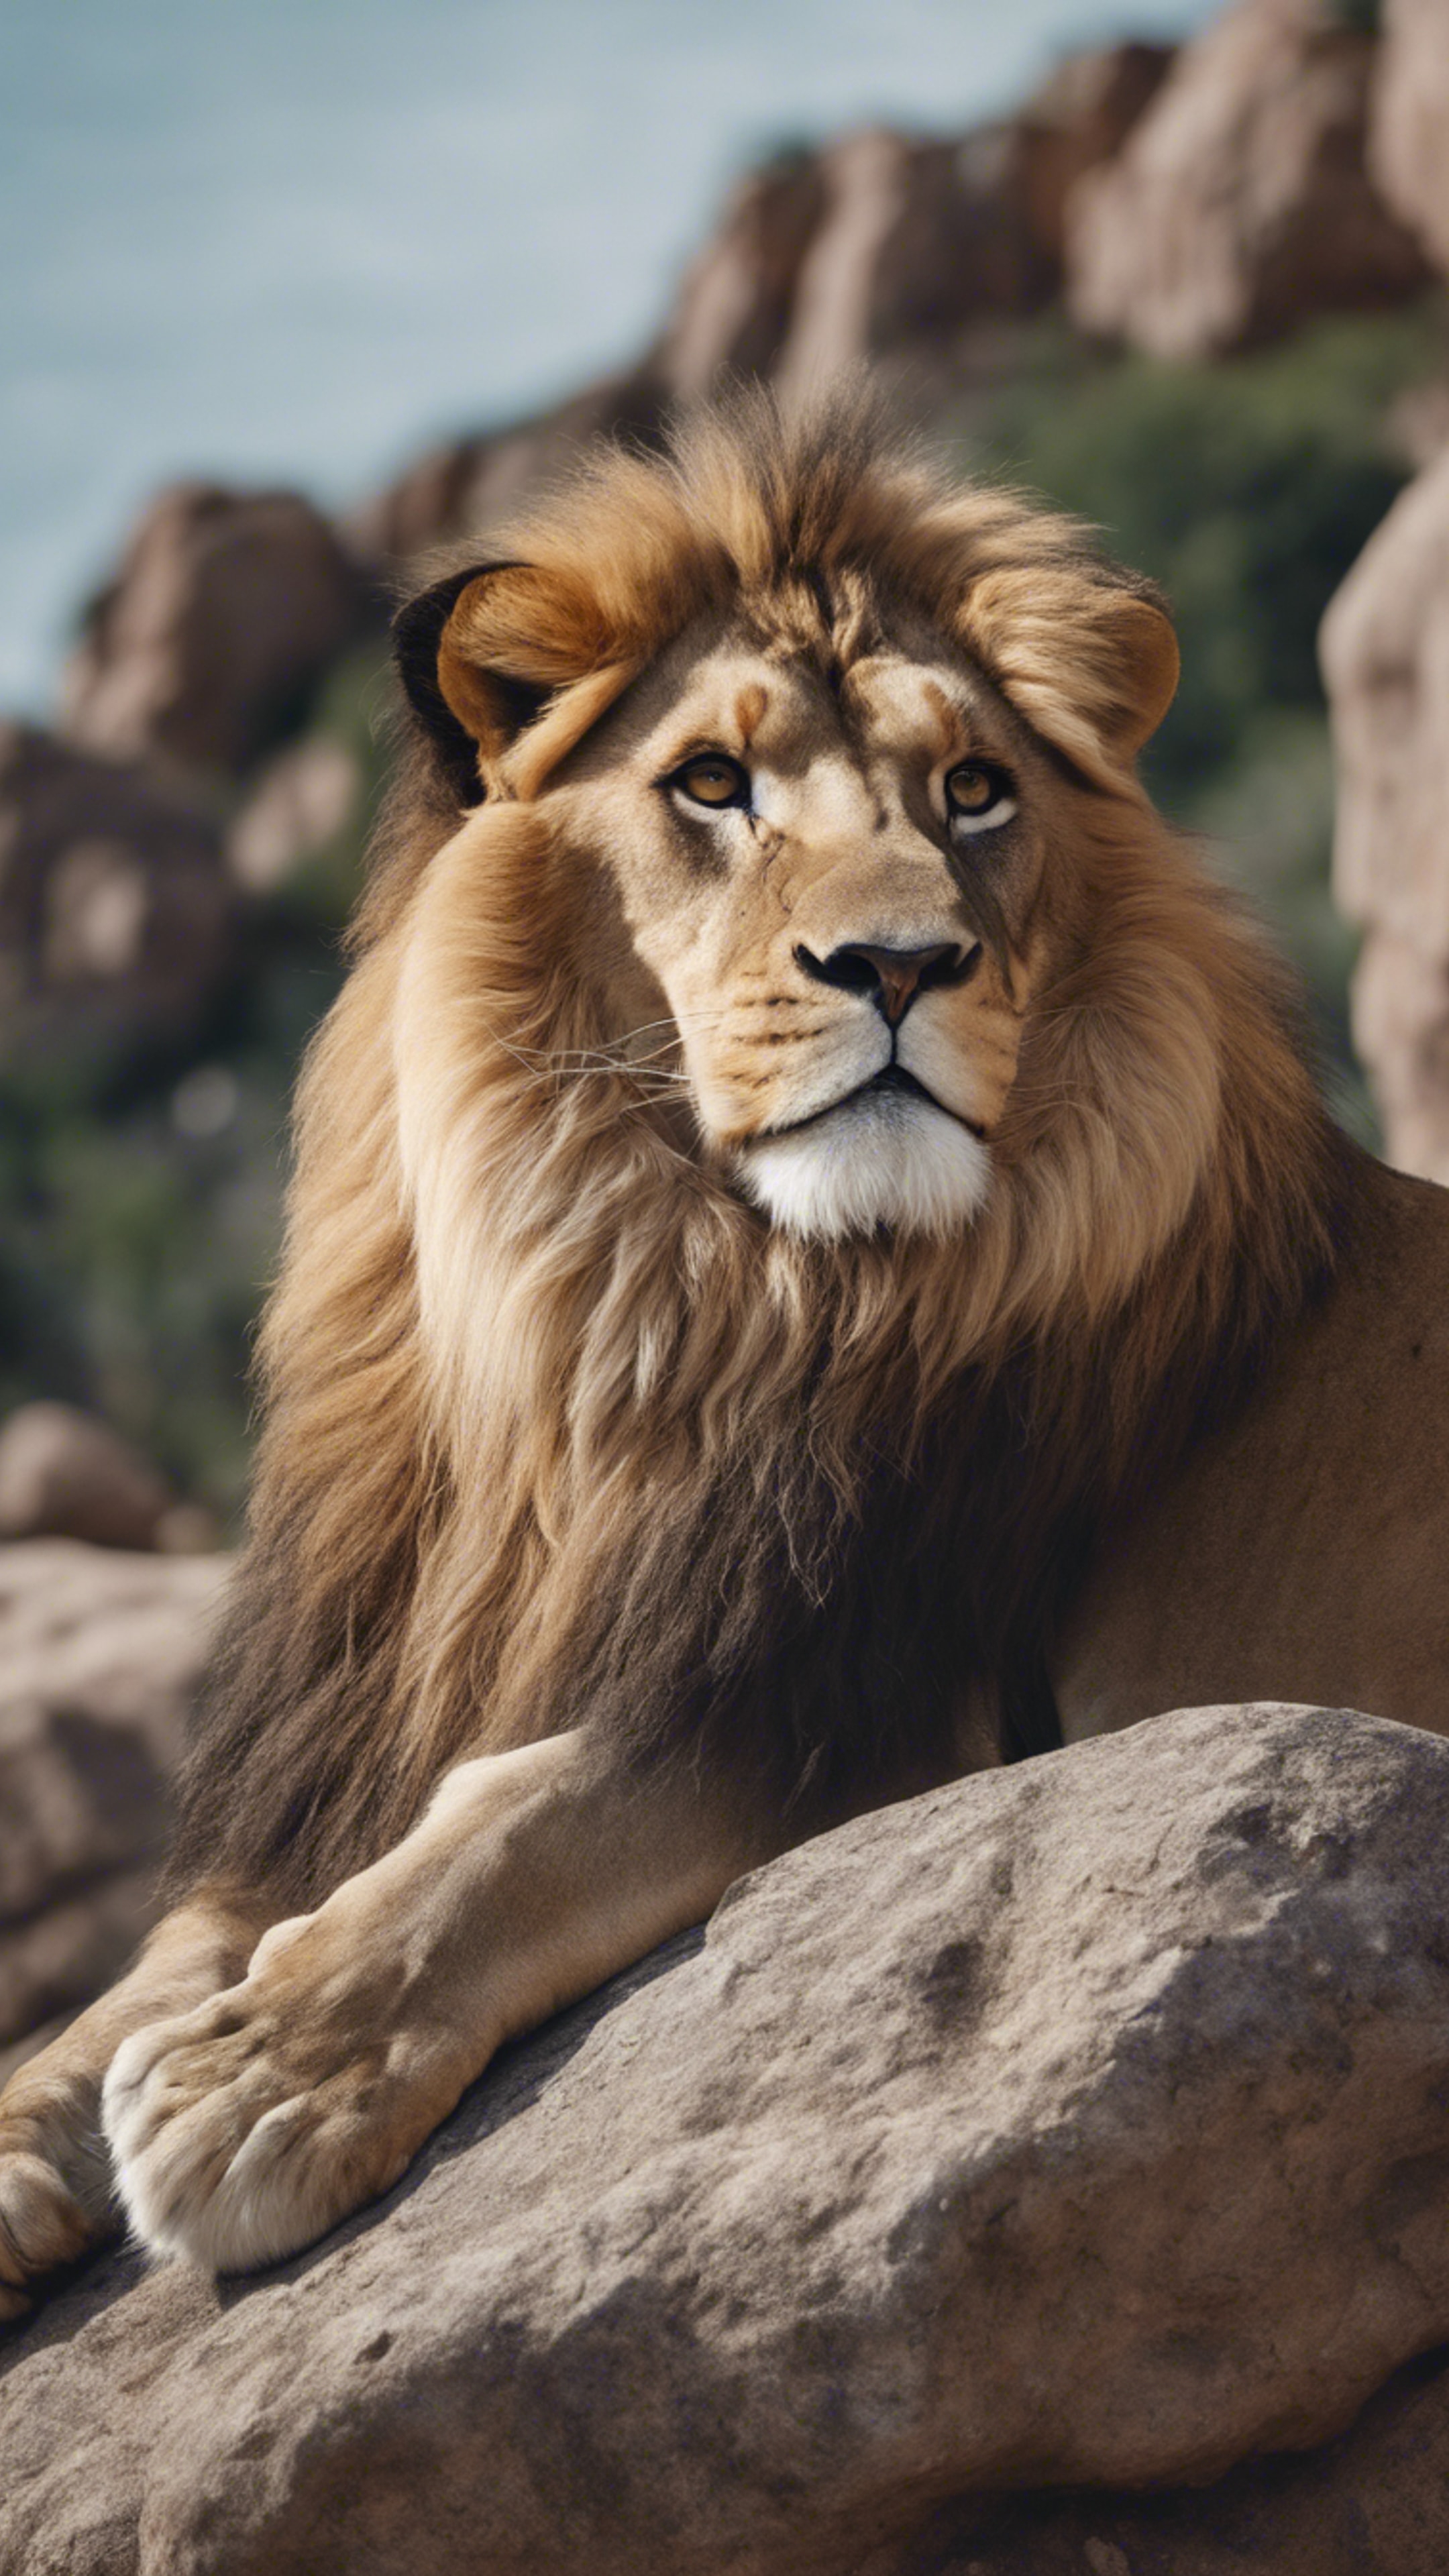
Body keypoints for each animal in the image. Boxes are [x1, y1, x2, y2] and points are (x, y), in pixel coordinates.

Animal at [3, 386, 1444, 2318]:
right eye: (710, 783)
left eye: (974, 790)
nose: (903, 964)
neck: (663, 1311)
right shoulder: (370, 1719)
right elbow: (141, 1968)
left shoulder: (880, 1697)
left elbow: (522, 1819)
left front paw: (265, 2081)